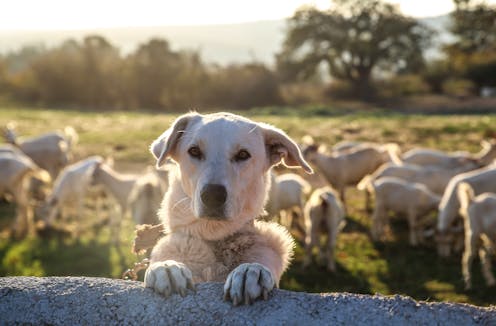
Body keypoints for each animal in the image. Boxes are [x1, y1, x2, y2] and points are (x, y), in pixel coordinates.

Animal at [145, 112, 312, 306]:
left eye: (243, 154)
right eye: (194, 151)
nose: (212, 195)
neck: (216, 239)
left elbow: (255, 265)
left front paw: (250, 270)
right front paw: (167, 267)